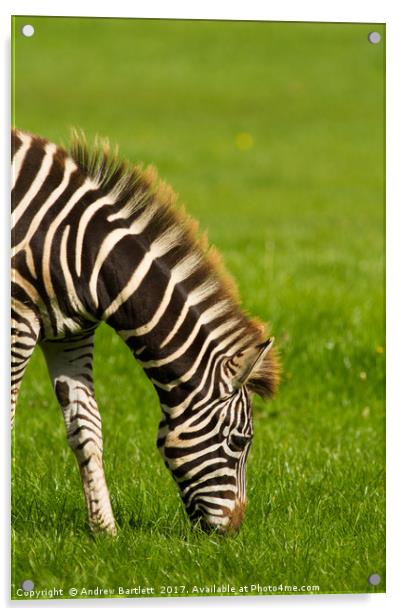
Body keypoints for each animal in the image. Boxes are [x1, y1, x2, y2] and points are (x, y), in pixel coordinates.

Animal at [10, 129, 280, 536]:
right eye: (239, 440)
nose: (234, 531)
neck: (88, 254)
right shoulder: (18, 320)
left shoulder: (70, 335)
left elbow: (87, 427)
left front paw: (105, 532)